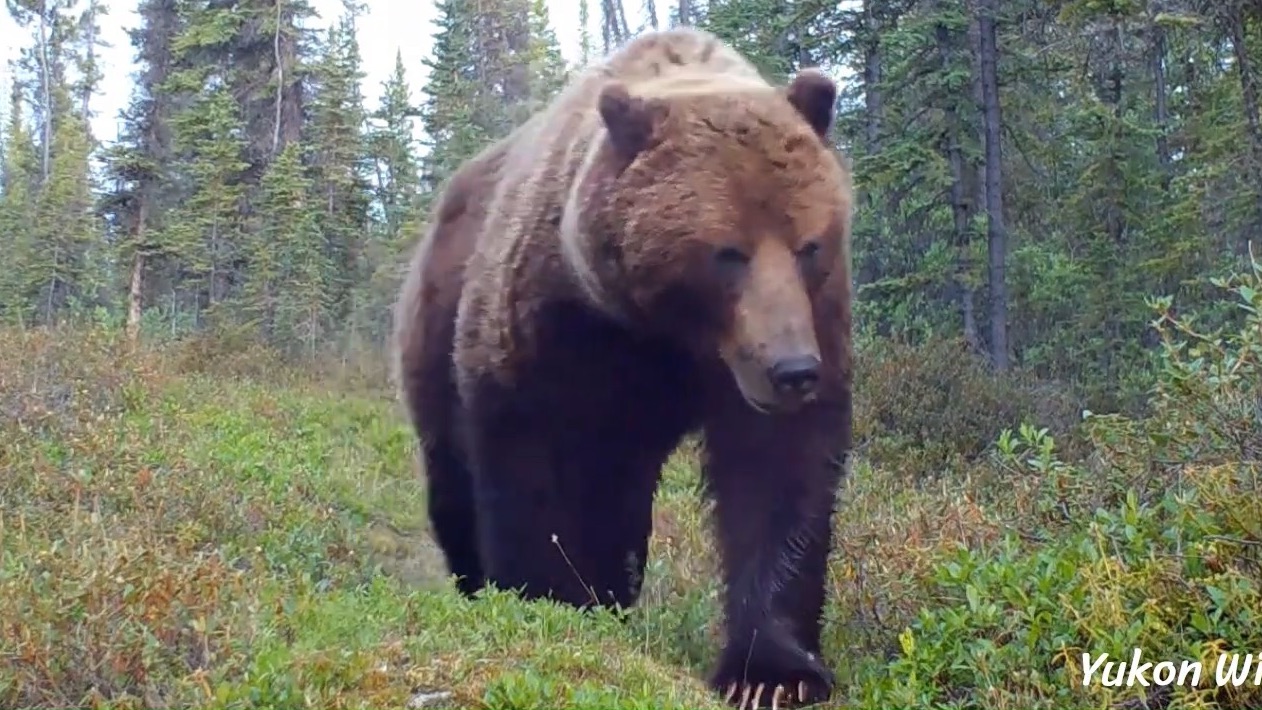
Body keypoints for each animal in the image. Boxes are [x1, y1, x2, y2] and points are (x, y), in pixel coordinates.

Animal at [388, 25, 853, 706]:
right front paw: (545, 598)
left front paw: (774, 671)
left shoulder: (799, 329)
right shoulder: (550, 326)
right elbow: (528, 467)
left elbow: (780, 473)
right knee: (454, 480)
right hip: (434, 333)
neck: (659, 331)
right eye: (727, 253)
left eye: (808, 246)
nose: (791, 370)